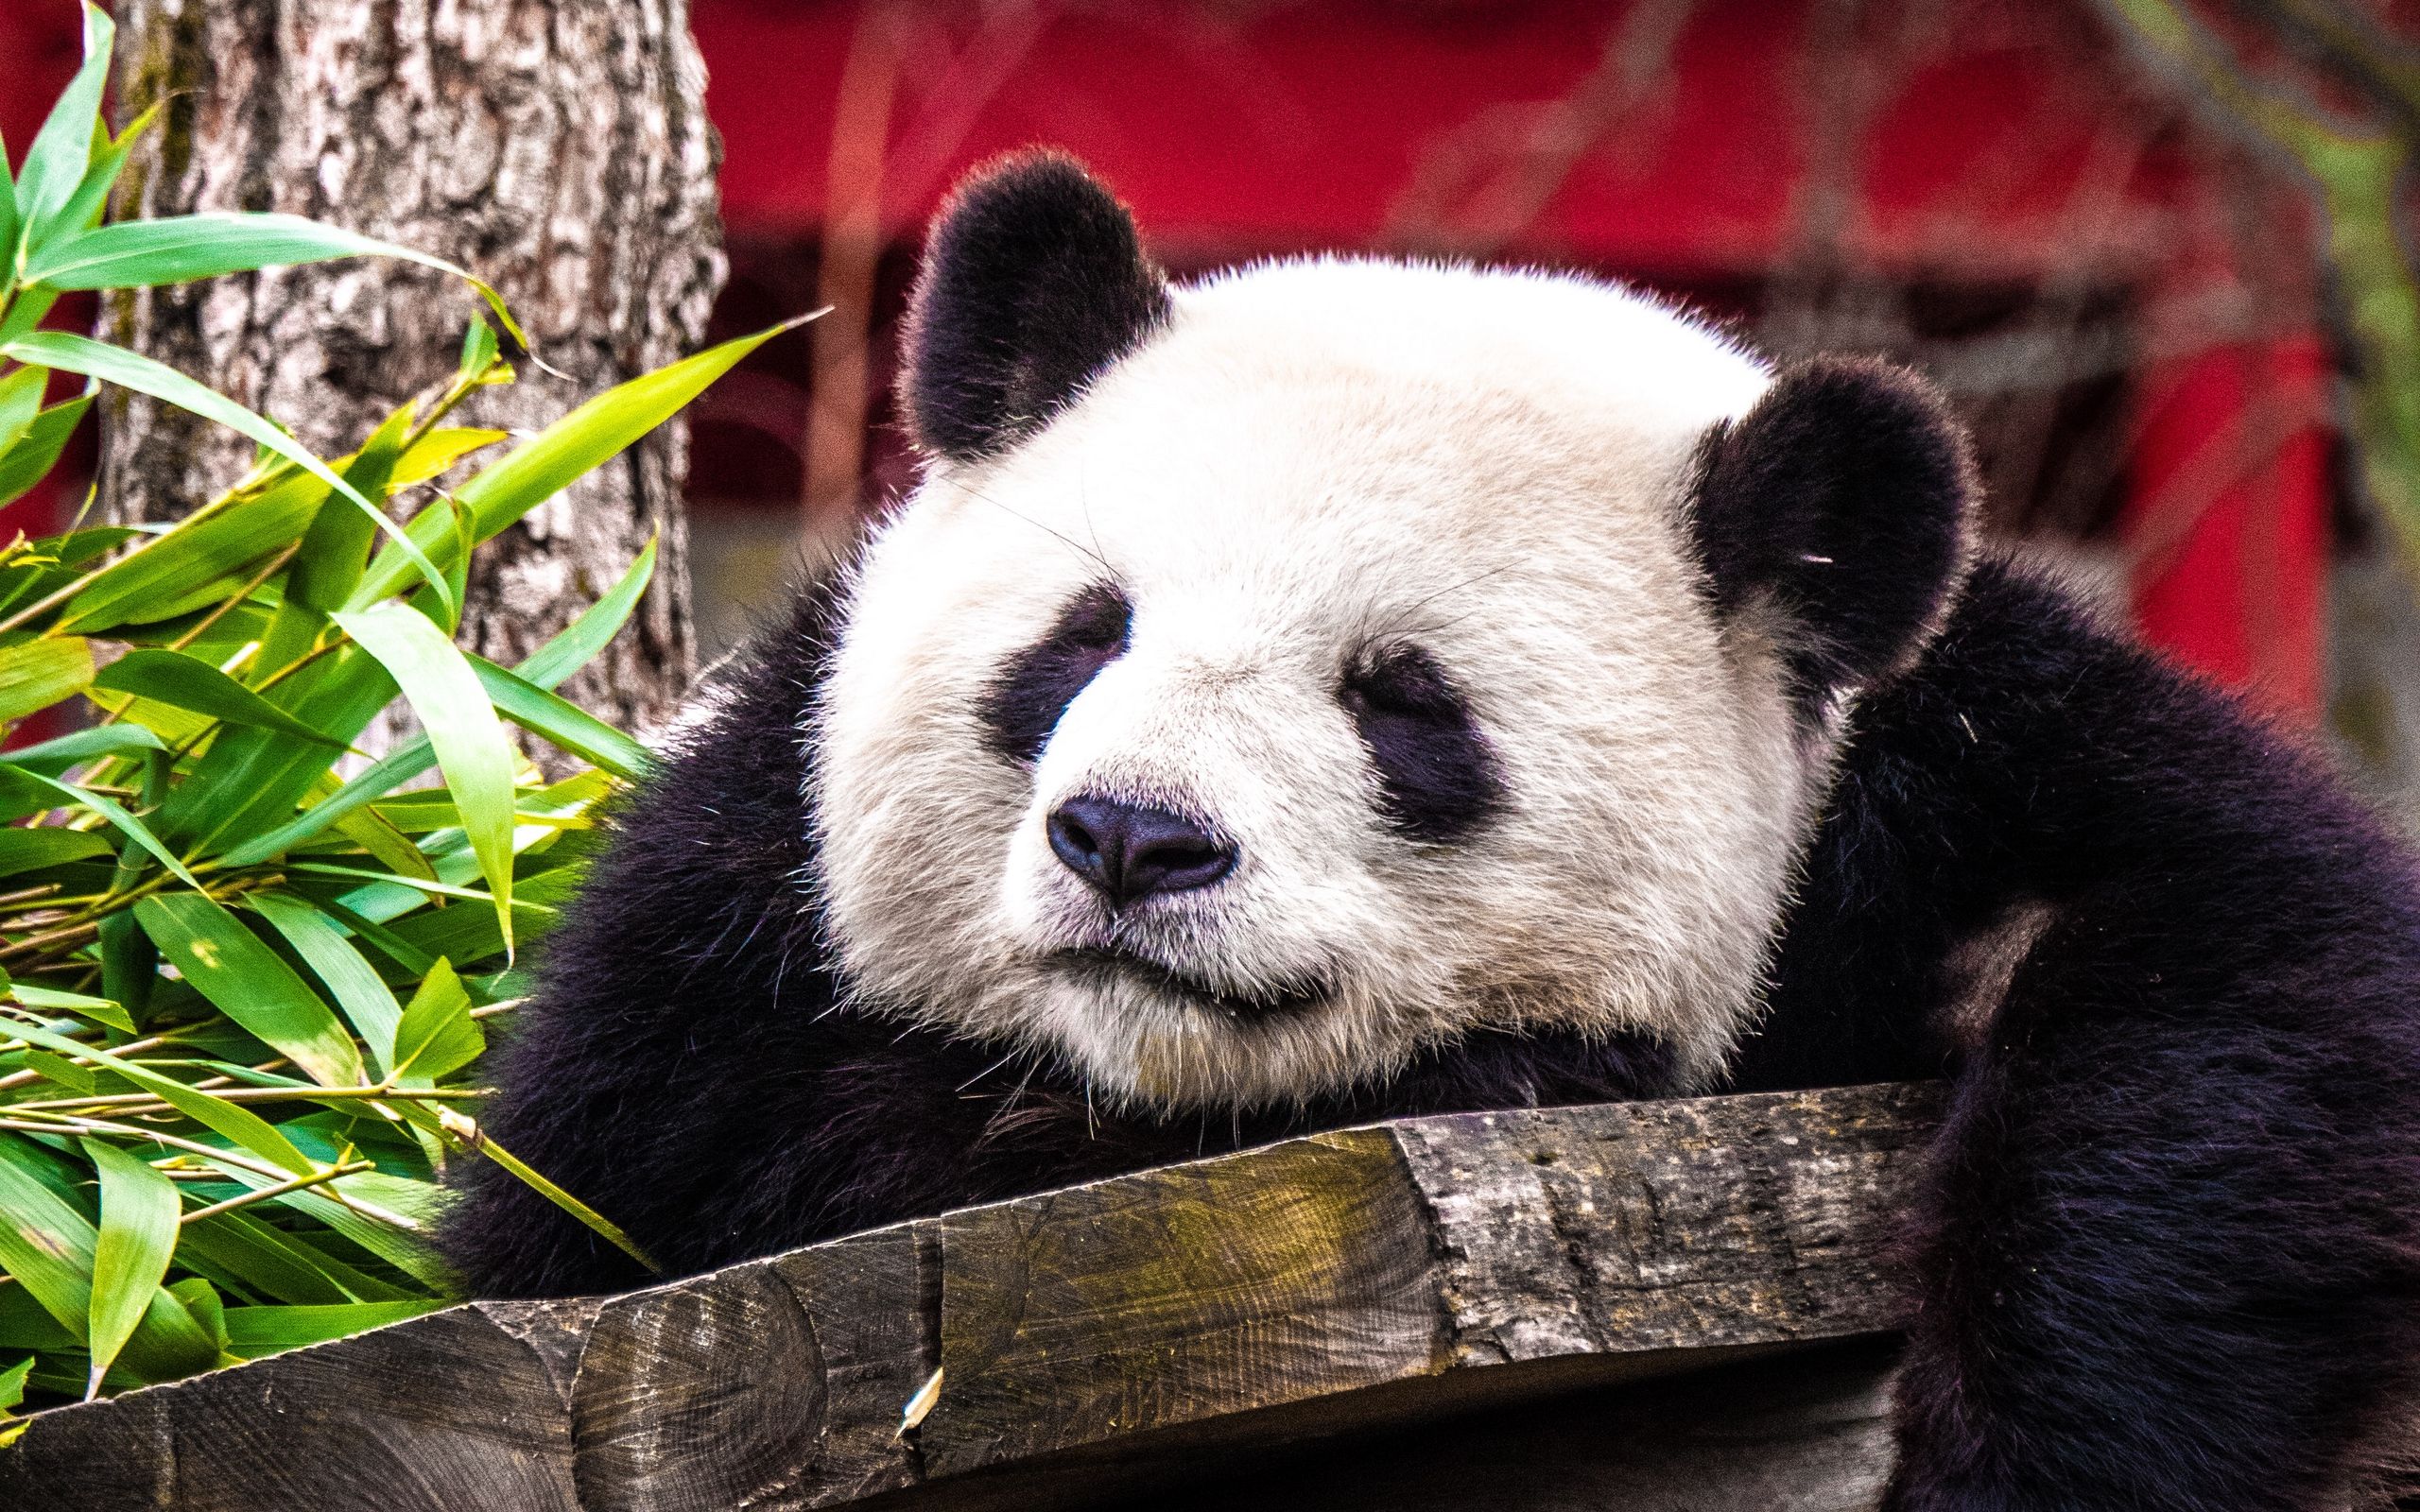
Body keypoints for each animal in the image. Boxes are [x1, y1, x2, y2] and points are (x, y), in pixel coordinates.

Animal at [443, 153, 2420, 1509]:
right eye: (1084, 636)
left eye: (1404, 703)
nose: (1132, 842)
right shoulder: (725, 904)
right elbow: (658, 1175)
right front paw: (1525, 1074)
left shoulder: (1940, 759)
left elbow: (2243, 968)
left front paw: (2035, 1452)